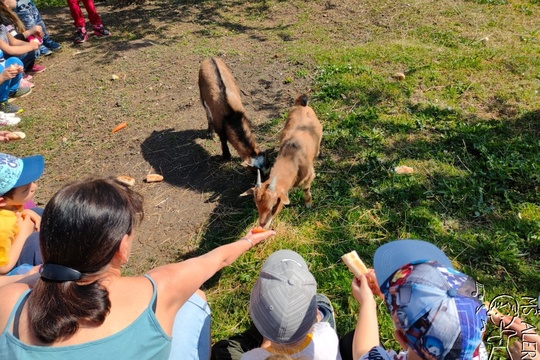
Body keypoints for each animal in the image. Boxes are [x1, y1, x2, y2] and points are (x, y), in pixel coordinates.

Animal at [240, 95, 320, 228]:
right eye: (257, 205)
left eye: (273, 206)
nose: (262, 225)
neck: (291, 158)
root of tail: (301, 104)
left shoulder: (308, 176)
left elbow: (306, 189)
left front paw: (308, 204)